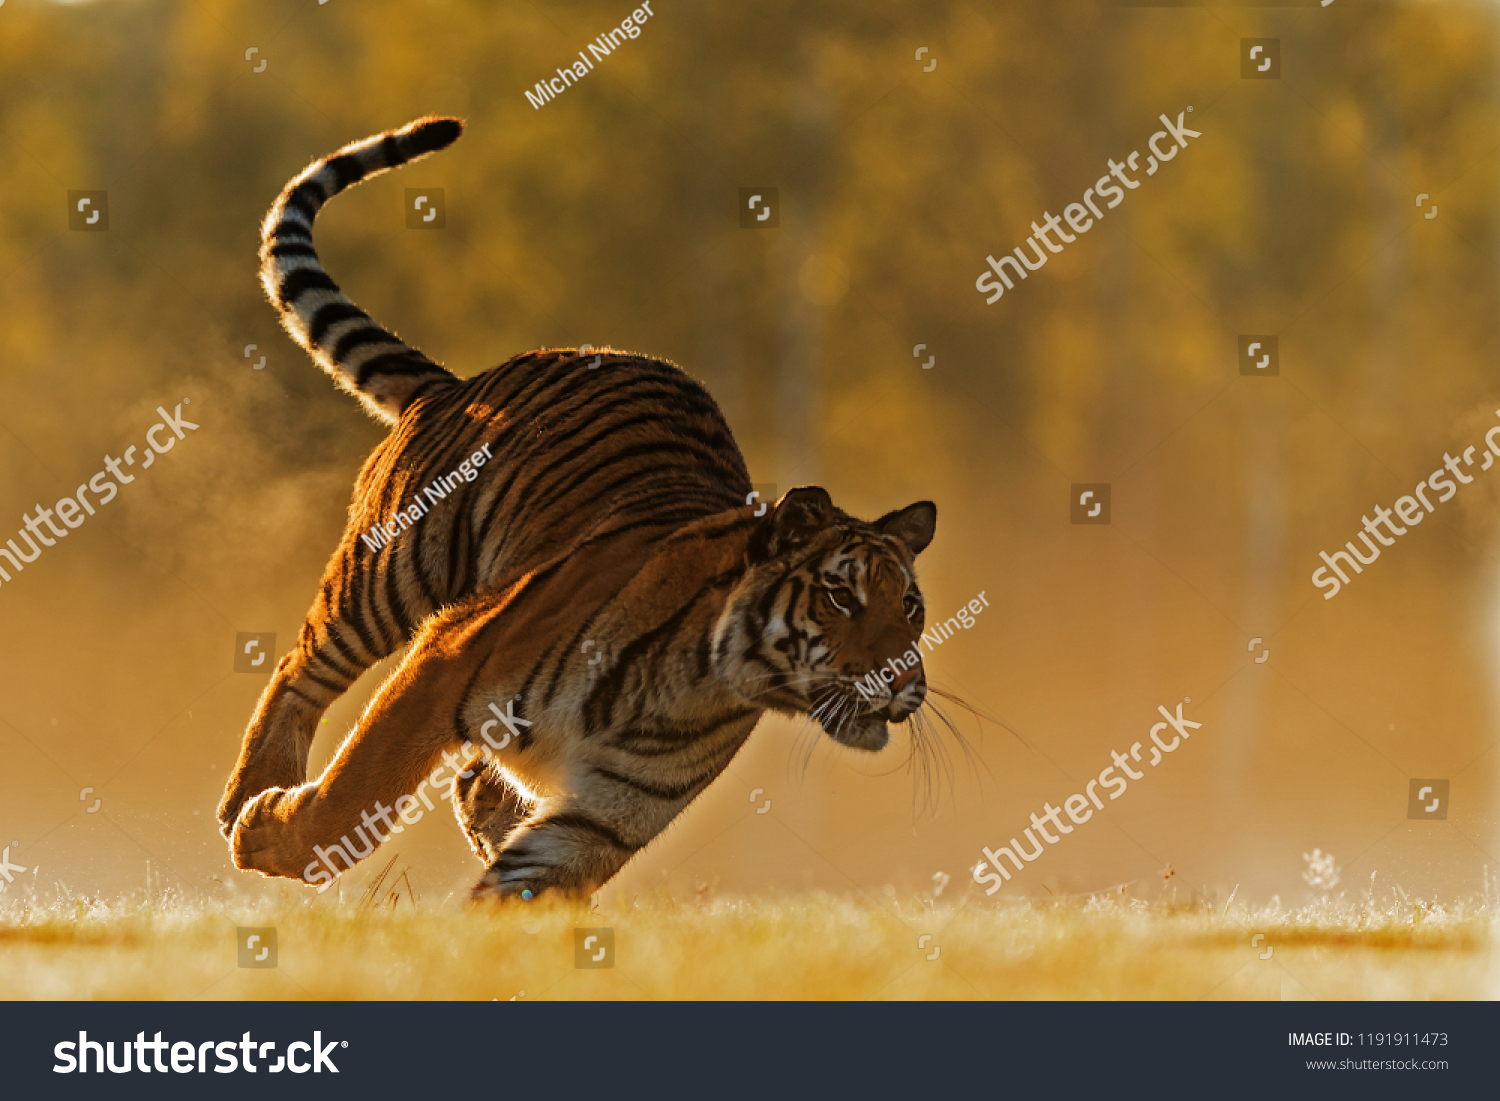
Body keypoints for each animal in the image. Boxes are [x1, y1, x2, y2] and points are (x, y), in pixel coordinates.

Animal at [218, 116, 939, 901]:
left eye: (910, 608)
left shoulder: (610, 810)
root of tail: (458, 381)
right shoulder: (446, 658)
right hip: (388, 574)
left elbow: (525, 884)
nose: (903, 681)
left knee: (472, 779)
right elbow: (361, 791)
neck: (702, 682)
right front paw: (269, 833)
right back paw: (247, 795)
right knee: (298, 667)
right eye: (840, 596)